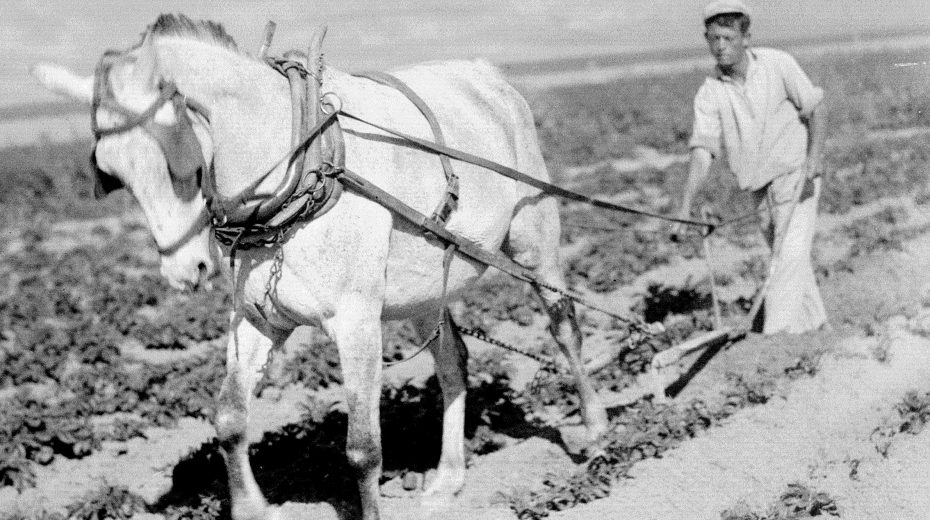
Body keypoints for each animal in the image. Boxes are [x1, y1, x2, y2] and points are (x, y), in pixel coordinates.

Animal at [33, 14, 609, 520]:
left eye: (187, 167)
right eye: (112, 175)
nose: (185, 272)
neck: (300, 169)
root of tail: (488, 75)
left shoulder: (357, 324)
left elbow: (363, 449)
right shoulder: (258, 319)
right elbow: (229, 418)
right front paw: (251, 508)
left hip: (536, 244)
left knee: (564, 331)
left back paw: (597, 432)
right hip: (425, 290)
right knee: (453, 363)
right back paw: (448, 477)